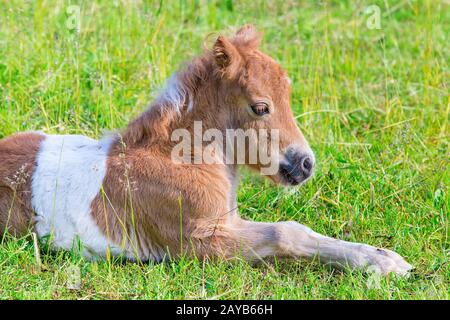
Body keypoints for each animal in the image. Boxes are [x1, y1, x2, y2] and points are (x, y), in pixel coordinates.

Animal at [0, 25, 412, 276]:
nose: (305, 163)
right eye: (260, 107)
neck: (178, 159)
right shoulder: (200, 242)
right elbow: (287, 233)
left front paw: (383, 258)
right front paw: (385, 264)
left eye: (289, 94)